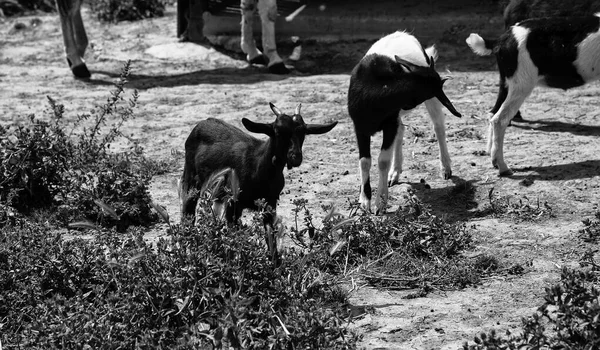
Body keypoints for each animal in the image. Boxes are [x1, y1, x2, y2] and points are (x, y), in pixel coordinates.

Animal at [178, 102, 338, 221]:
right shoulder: (234, 203)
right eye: (277, 132)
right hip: (191, 179)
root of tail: (202, 123)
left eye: (303, 132)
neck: (258, 167)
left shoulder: (270, 204)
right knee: (188, 211)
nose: (295, 157)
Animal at [344, 31, 462, 215]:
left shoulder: (389, 122)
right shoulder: (360, 126)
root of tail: (403, 34)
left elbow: (382, 161)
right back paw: (394, 173)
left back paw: (445, 168)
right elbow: (364, 161)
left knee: (438, 127)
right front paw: (364, 201)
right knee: (401, 131)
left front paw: (380, 202)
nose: (408, 105)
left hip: (430, 105)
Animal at [466, 14, 600, 175]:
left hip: (506, 81)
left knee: (493, 113)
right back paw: (504, 168)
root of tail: (501, 41)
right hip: (521, 83)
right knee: (500, 119)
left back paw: (494, 162)